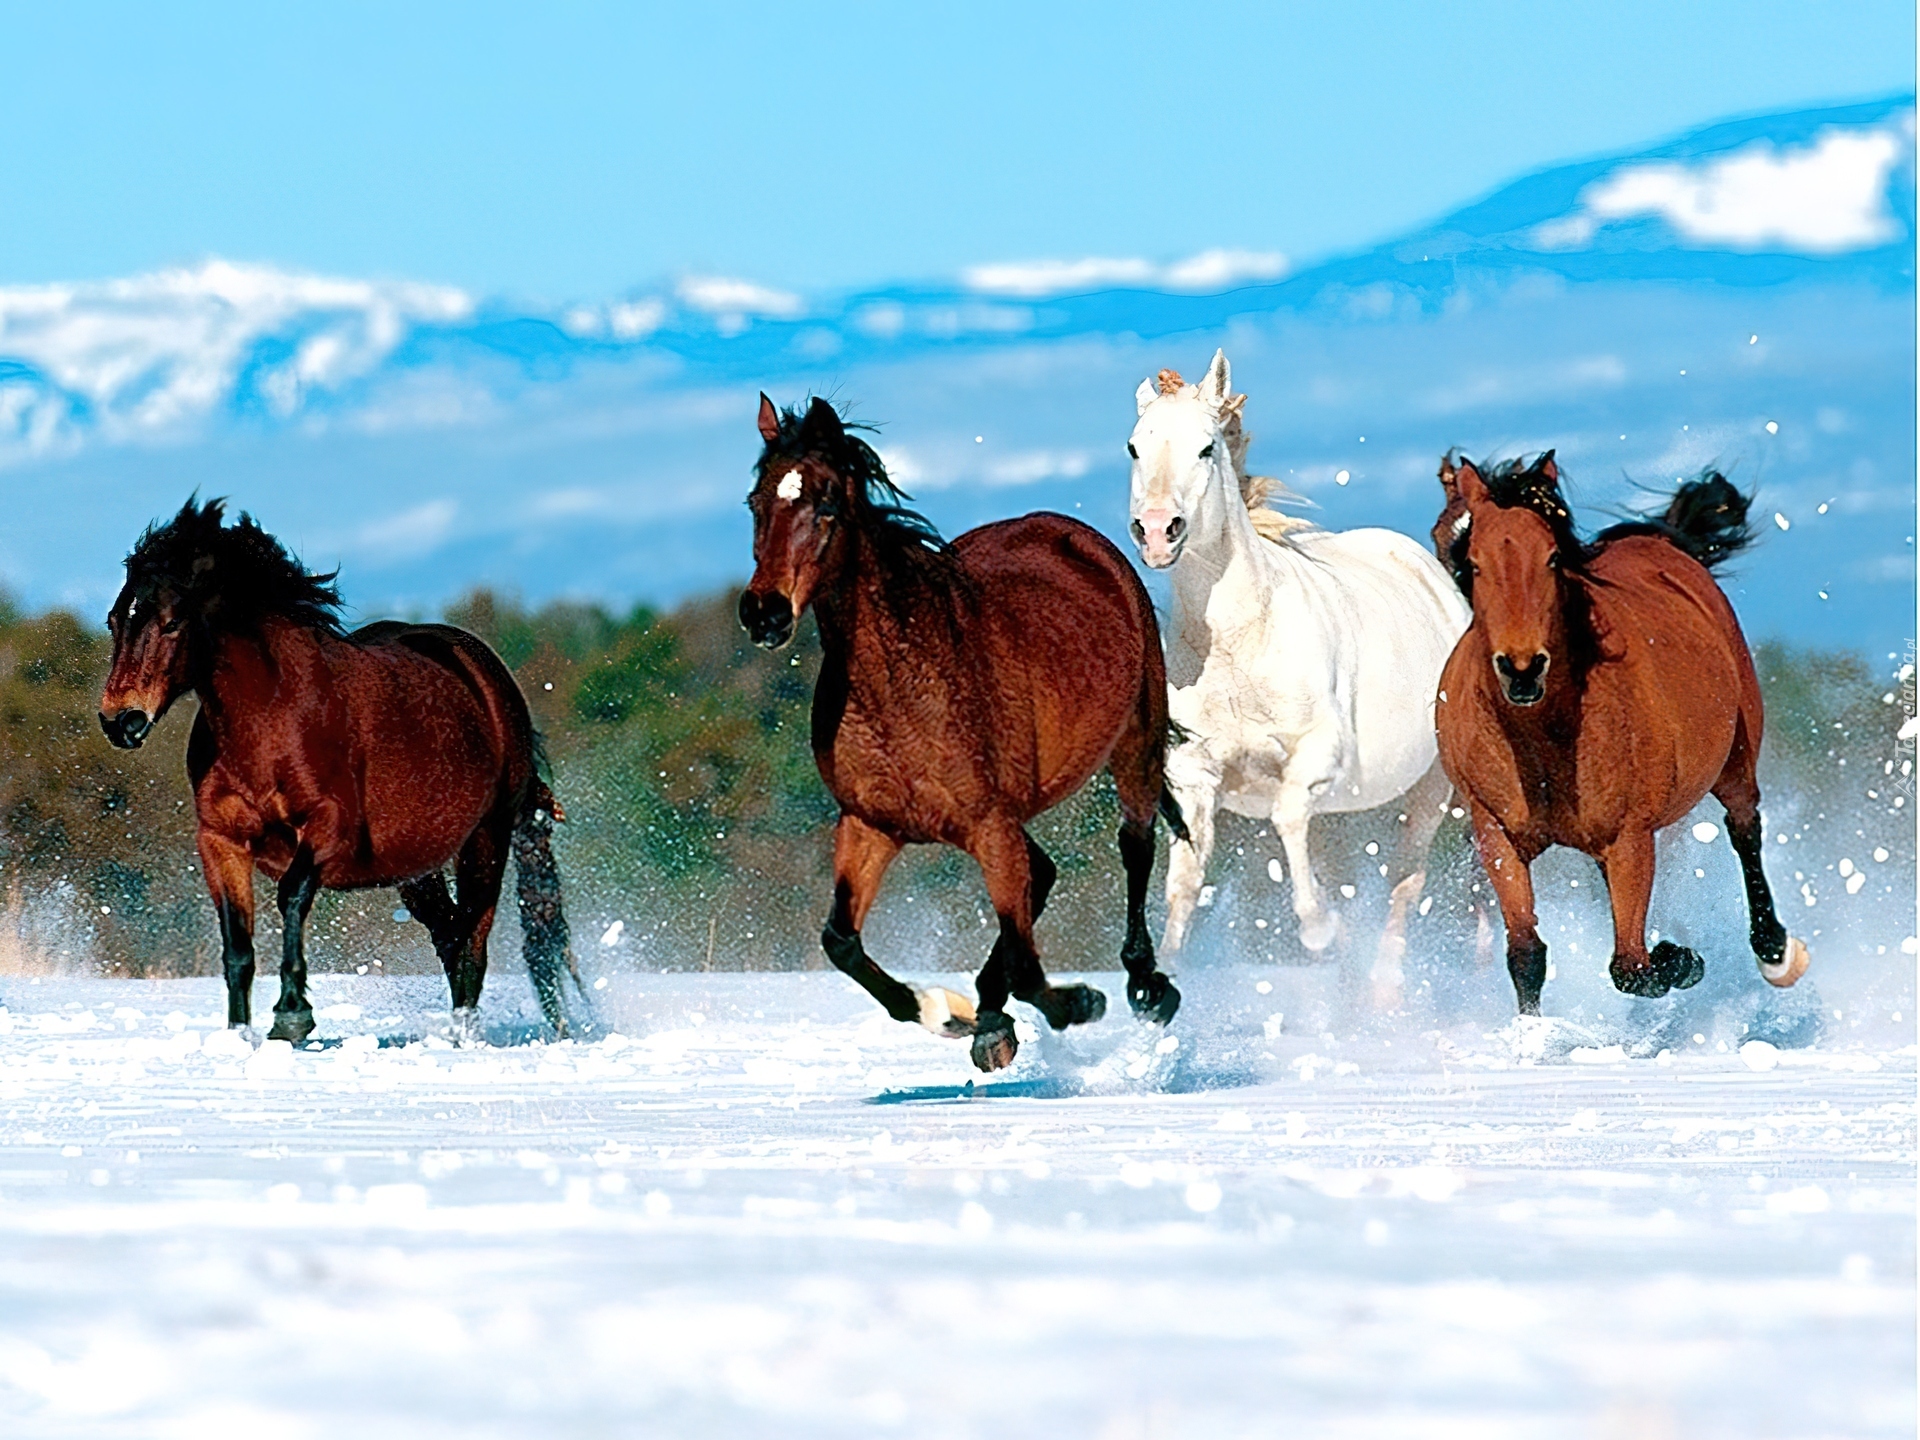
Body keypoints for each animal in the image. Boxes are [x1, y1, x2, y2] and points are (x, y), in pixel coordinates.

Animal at [98, 503, 576, 1044]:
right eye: (114, 620)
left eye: (173, 622)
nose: (120, 720)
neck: (269, 718)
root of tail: (489, 679)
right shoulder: (220, 840)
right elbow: (237, 943)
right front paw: (239, 1036)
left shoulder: (330, 827)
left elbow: (291, 895)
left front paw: (291, 1015)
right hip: (417, 868)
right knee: (450, 936)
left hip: (486, 839)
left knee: (472, 939)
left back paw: (463, 1039)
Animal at [737, 395, 1175, 1075]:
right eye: (756, 502)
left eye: (826, 504)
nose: (764, 613)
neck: (903, 686)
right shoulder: (870, 825)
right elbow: (841, 942)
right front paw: (948, 1014)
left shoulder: (989, 825)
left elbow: (1029, 965)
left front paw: (1078, 1002)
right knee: (1043, 874)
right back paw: (990, 1018)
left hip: (1136, 743)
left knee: (1135, 845)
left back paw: (1146, 988)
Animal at [1121, 353, 1466, 1006]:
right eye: (1134, 447)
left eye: (1206, 447)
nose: (1156, 530)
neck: (1240, 645)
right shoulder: (1195, 777)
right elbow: (1185, 883)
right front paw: (1163, 982)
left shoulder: (1315, 757)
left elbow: (1284, 818)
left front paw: (1316, 929)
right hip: (1342, 812)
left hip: (1431, 790)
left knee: (1405, 882)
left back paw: (1385, 994)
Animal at [1436, 453, 1804, 1013]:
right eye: (1474, 562)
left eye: (1551, 559)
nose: (1522, 669)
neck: (1542, 739)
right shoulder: (1496, 835)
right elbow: (1526, 955)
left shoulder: (1630, 839)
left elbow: (1630, 967)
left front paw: (1681, 959)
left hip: (1735, 759)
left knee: (1745, 829)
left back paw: (1775, 953)